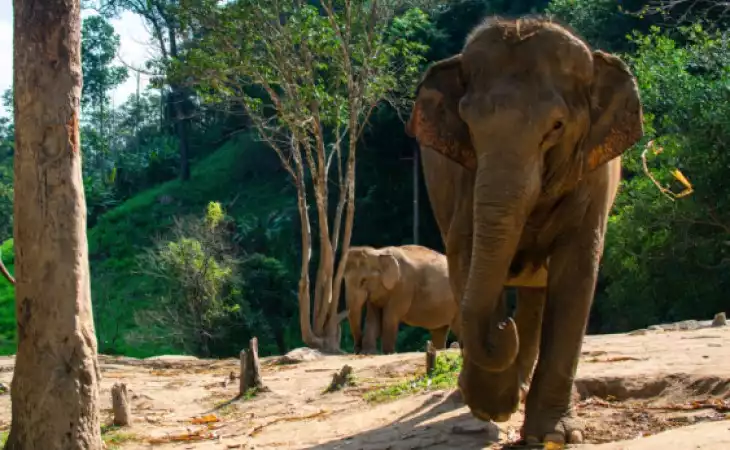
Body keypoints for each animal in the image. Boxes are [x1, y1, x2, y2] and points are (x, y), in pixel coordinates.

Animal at [405, 17, 643, 445]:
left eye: (557, 126)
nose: (503, 325)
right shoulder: (464, 181)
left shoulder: (593, 178)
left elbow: (577, 273)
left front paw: (554, 436)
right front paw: (492, 405)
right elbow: (465, 255)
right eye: (469, 125)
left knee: (537, 292)